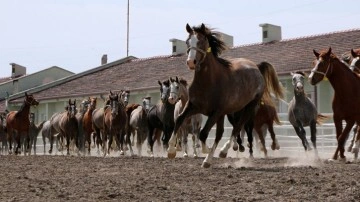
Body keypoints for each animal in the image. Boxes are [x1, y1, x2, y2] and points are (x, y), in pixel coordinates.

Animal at [167, 23, 284, 167]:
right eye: (187, 41)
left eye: (201, 41)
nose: (190, 62)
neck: (209, 81)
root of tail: (256, 68)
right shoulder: (193, 106)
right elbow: (179, 120)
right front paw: (171, 150)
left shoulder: (216, 112)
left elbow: (203, 133)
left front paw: (205, 150)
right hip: (229, 113)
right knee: (223, 132)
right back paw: (213, 157)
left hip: (248, 108)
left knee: (237, 127)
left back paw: (223, 151)